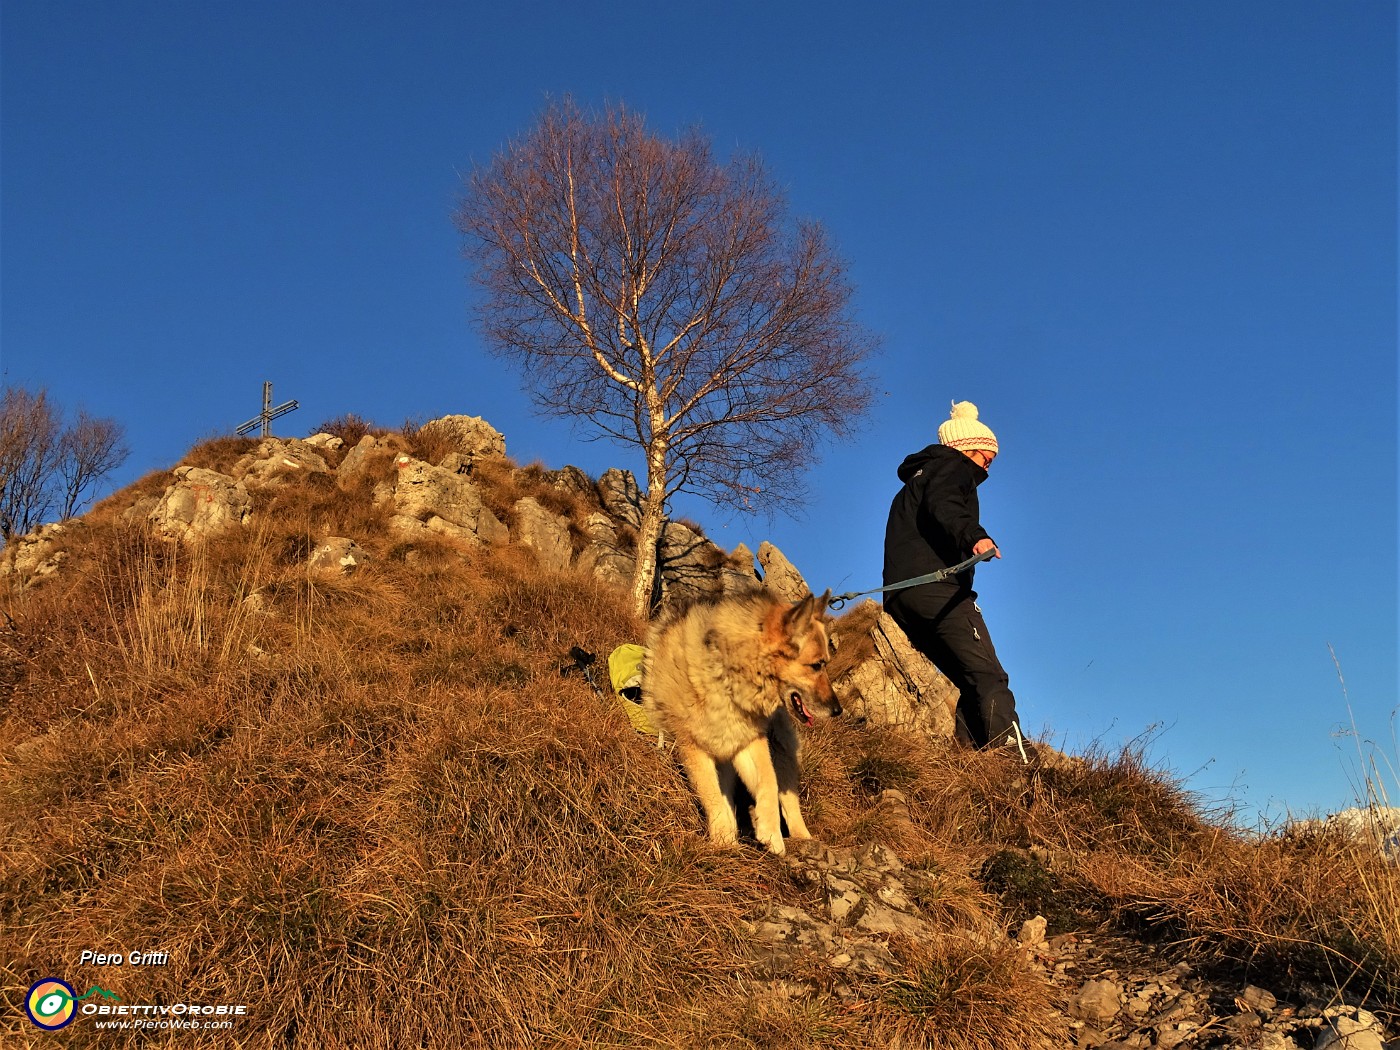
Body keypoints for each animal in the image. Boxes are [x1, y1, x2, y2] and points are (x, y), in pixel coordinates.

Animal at [644, 593, 840, 856]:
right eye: (817, 665)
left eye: (824, 663)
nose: (838, 710)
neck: (728, 678)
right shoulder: (694, 748)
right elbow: (713, 796)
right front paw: (724, 841)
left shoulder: (750, 743)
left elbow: (769, 782)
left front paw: (770, 832)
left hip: (781, 750)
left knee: (789, 799)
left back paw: (803, 839)